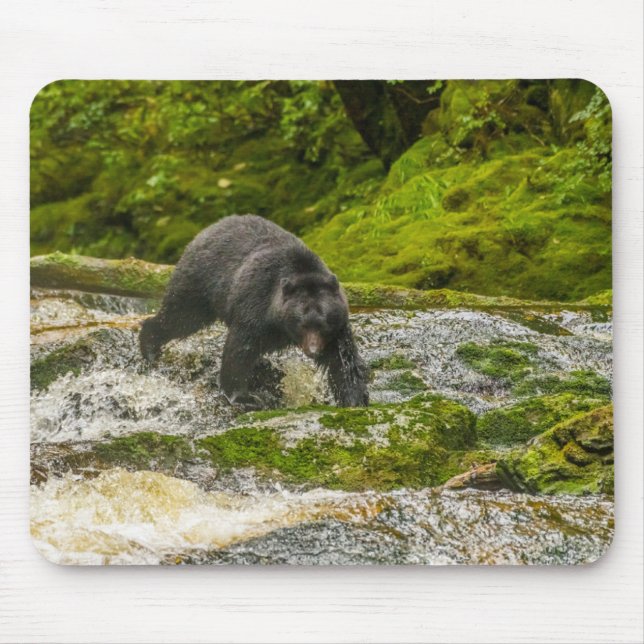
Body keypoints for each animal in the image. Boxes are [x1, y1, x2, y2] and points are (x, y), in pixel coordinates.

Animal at [139, 215, 369, 407]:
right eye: (302, 323)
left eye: (323, 323)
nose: (313, 351)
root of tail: (207, 230)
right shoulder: (256, 304)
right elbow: (240, 349)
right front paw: (244, 397)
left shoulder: (338, 329)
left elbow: (343, 362)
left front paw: (355, 400)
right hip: (200, 282)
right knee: (179, 316)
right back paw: (149, 348)